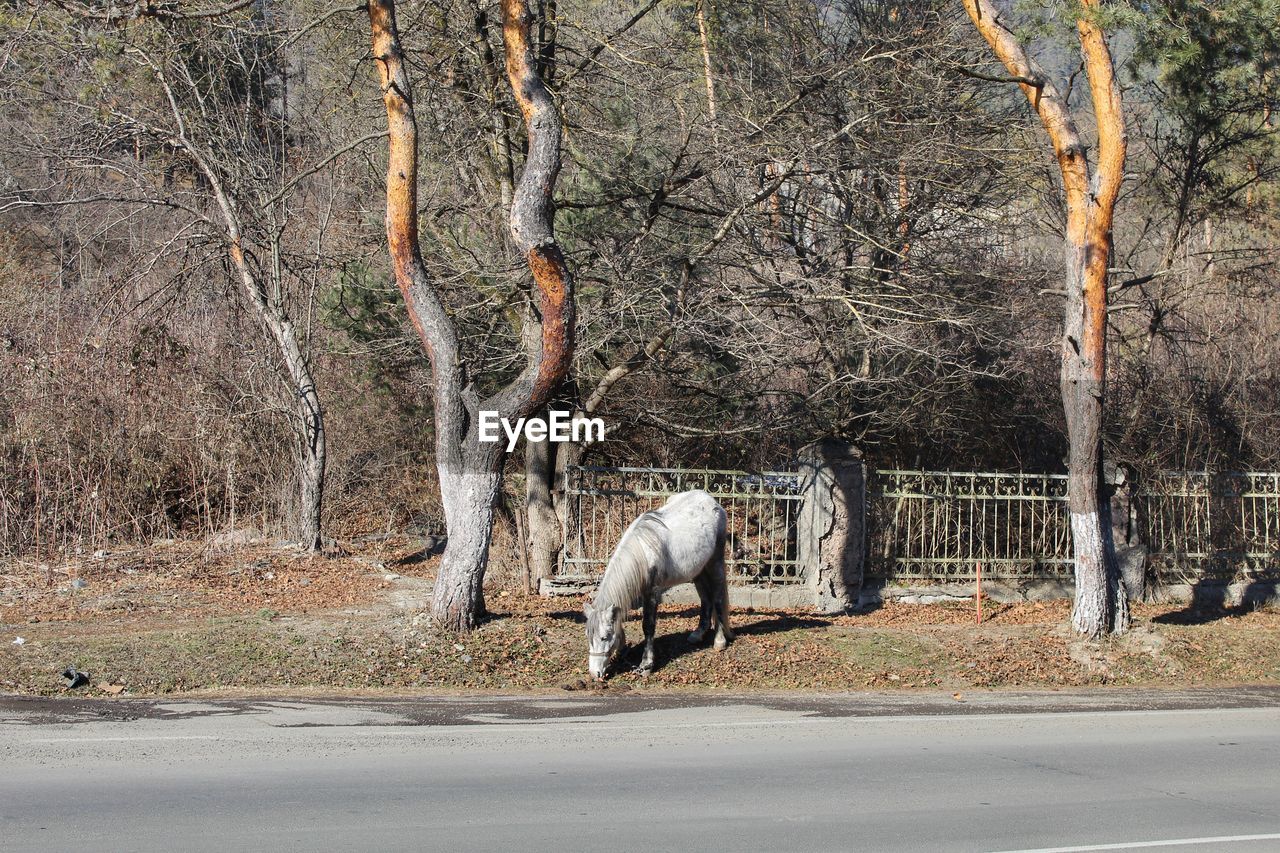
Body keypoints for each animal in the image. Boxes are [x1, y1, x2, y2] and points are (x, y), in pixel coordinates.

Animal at [586, 484, 737, 676]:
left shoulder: (652, 592)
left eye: (604, 637)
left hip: (715, 563)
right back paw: (698, 634)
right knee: (705, 597)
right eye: (588, 637)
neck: (643, 552)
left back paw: (719, 640)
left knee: (717, 597)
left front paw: (646, 664)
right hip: (698, 569)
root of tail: (712, 501)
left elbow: (648, 626)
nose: (594, 673)